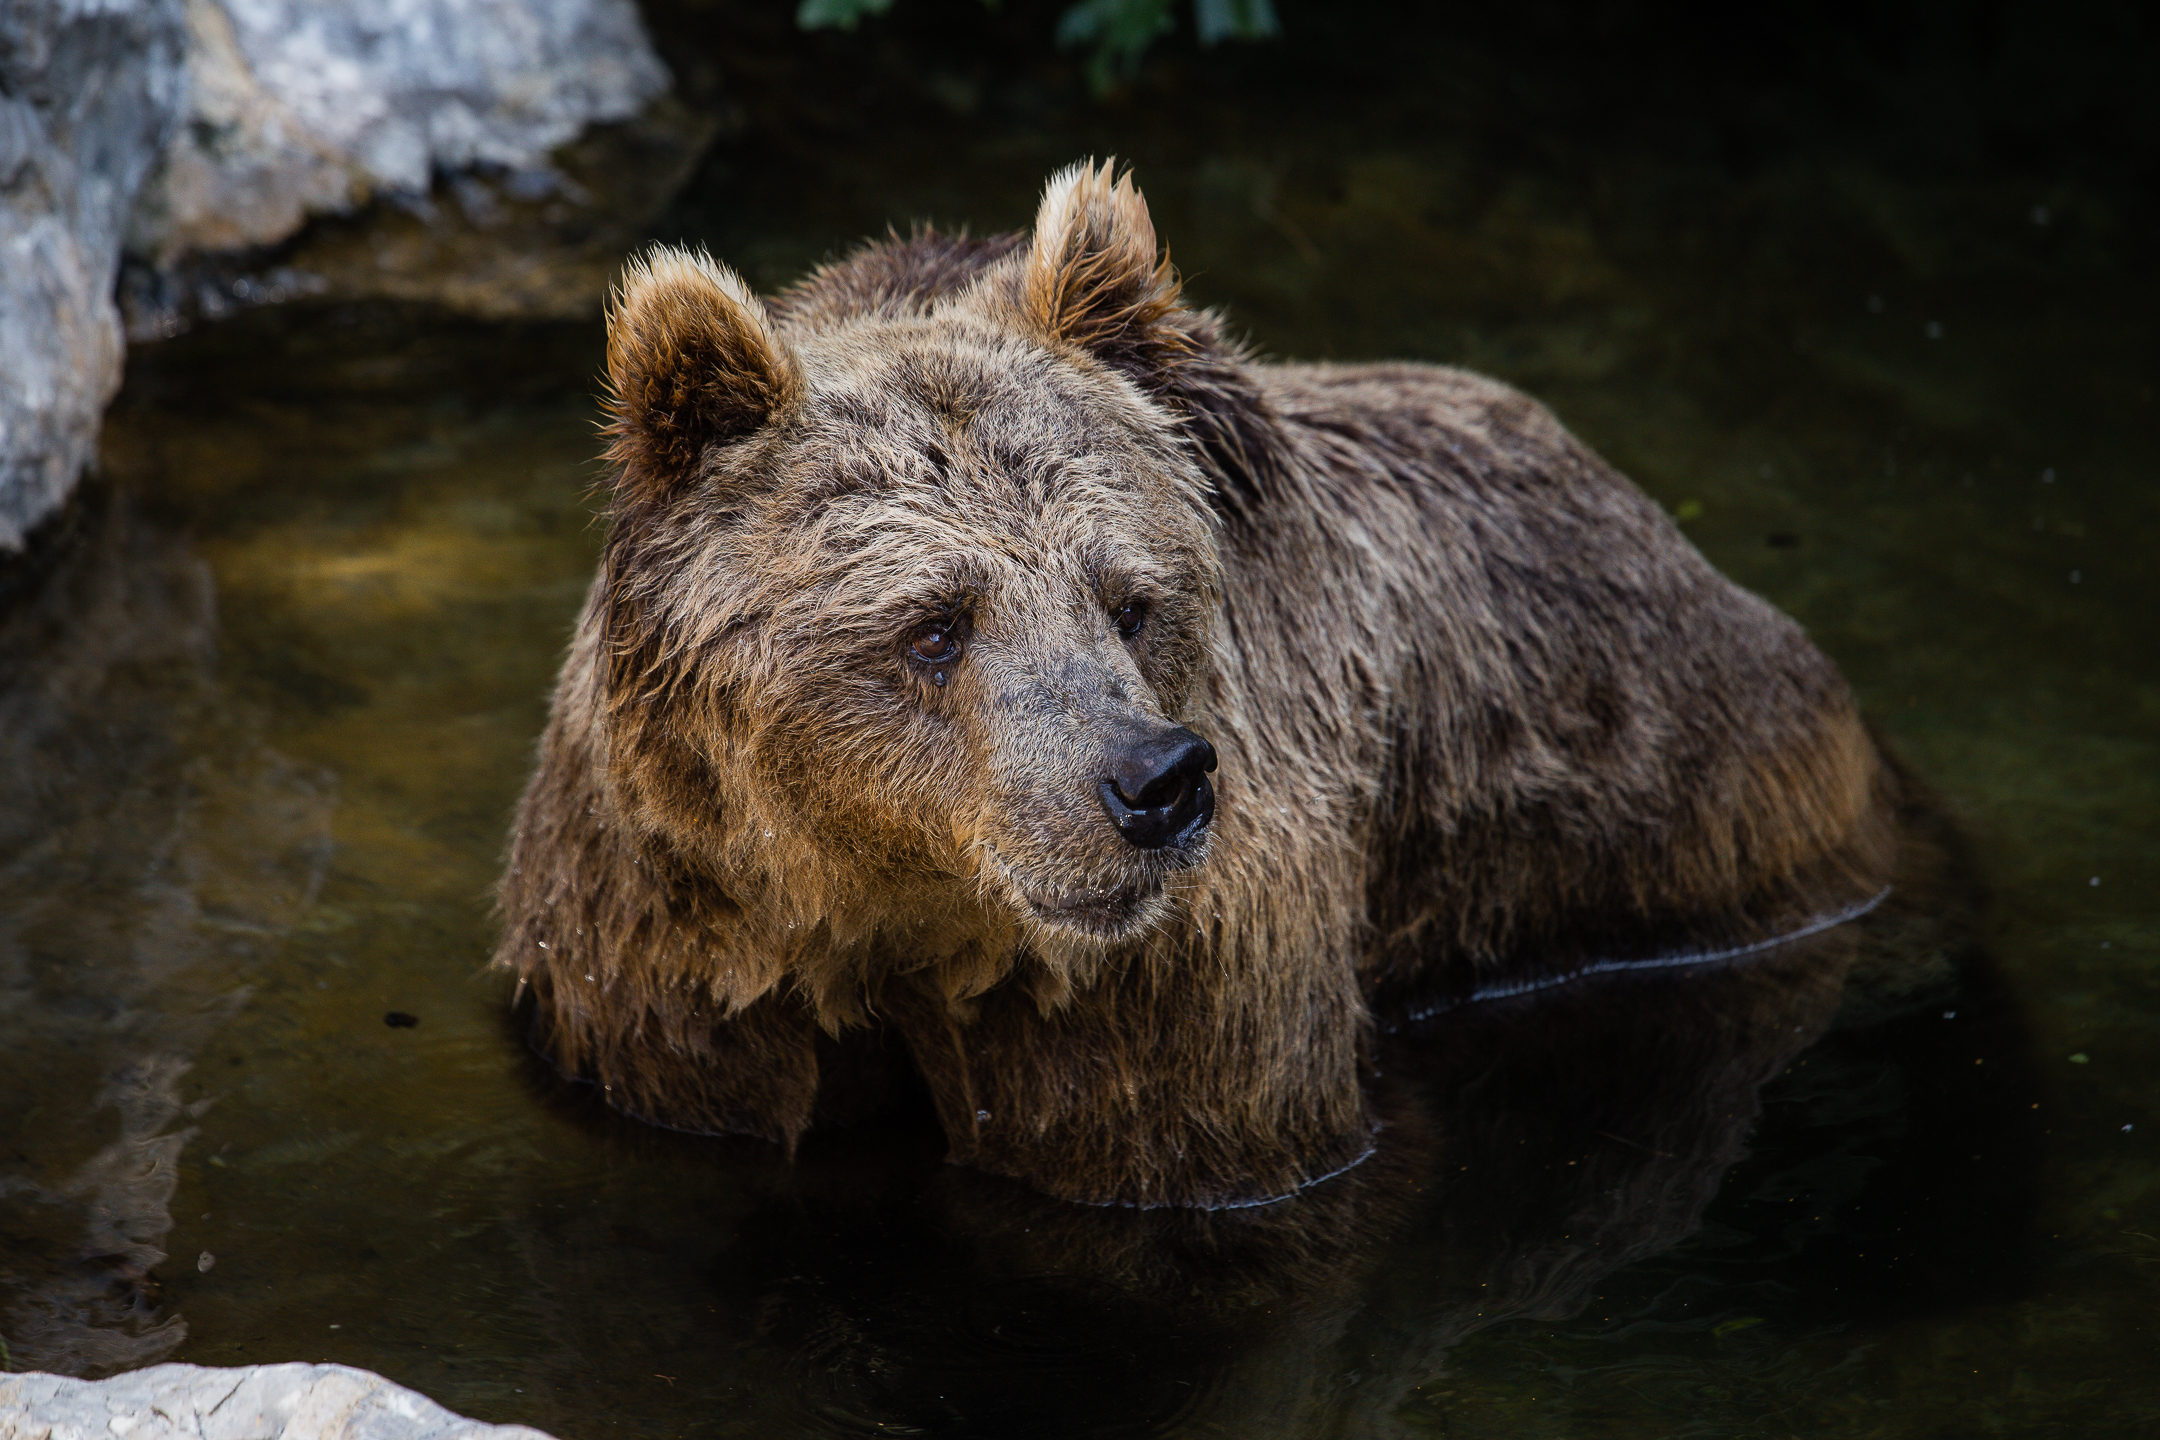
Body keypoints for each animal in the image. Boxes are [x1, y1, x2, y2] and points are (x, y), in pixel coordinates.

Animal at [495, 160, 1897, 1209]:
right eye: (935, 625)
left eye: (1131, 598)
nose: (1153, 783)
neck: (892, 904)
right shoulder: (673, 932)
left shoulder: (1186, 974)